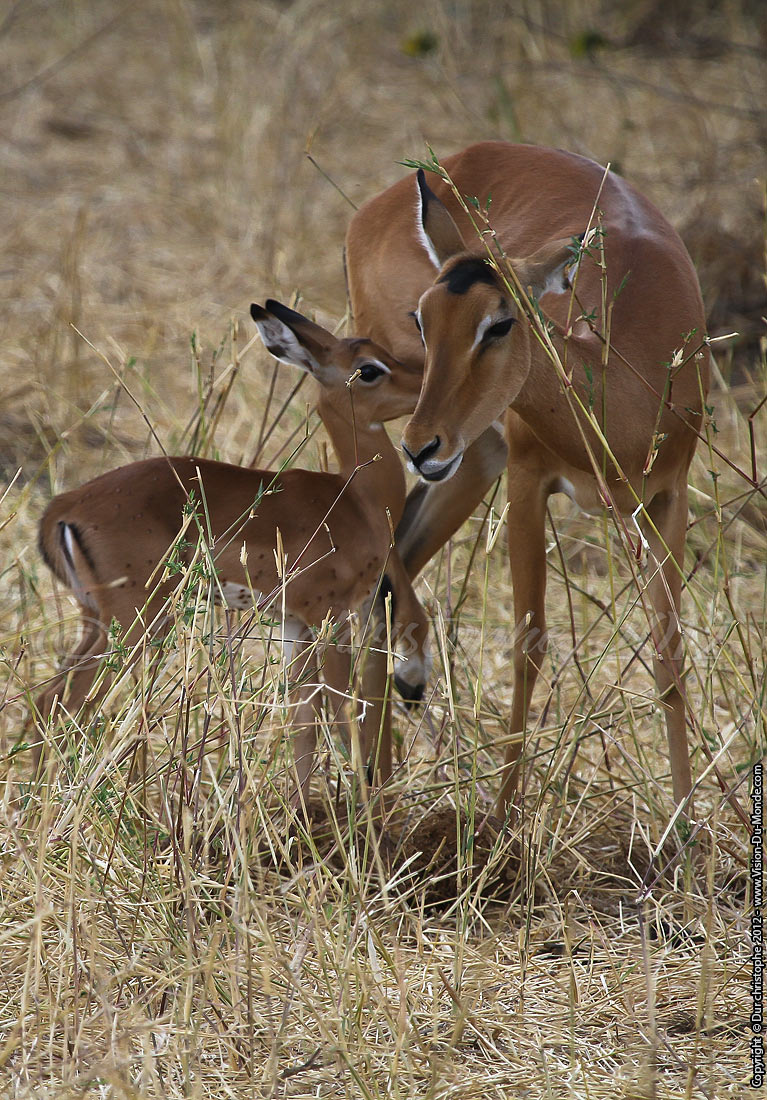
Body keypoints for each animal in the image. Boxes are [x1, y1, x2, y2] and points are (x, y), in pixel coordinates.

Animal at [33, 300, 430, 804]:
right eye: (369, 368)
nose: (424, 384)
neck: (357, 499)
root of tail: (64, 507)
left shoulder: (294, 623)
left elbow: (301, 722)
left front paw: (300, 814)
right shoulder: (331, 617)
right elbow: (343, 712)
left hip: (99, 619)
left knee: (48, 701)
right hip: (135, 623)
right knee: (60, 702)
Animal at [345, 141, 710, 820]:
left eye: (499, 322)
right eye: (424, 317)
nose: (420, 445)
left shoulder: (667, 498)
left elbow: (669, 653)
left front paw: (683, 831)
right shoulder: (527, 478)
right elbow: (528, 642)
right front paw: (504, 821)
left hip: (469, 457)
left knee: (387, 571)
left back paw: (376, 781)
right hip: (398, 408)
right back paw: (405, 690)